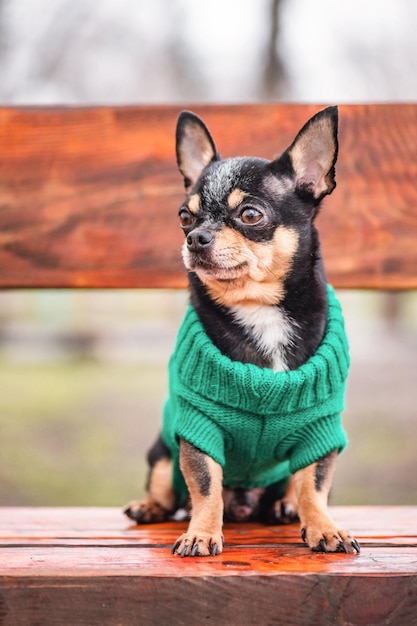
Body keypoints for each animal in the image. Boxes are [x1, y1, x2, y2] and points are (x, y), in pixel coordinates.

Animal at [125, 107, 360, 556]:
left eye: (251, 215)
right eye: (185, 217)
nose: (196, 238)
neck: (258, 309)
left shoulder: (320, 429)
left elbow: (315, 484)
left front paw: (324, 527)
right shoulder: (198, 427)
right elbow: (205, 486)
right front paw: (201, 533)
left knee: (292, 485)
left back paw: (285, 507)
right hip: (162, 450)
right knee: (167, 487)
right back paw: (149, 506)